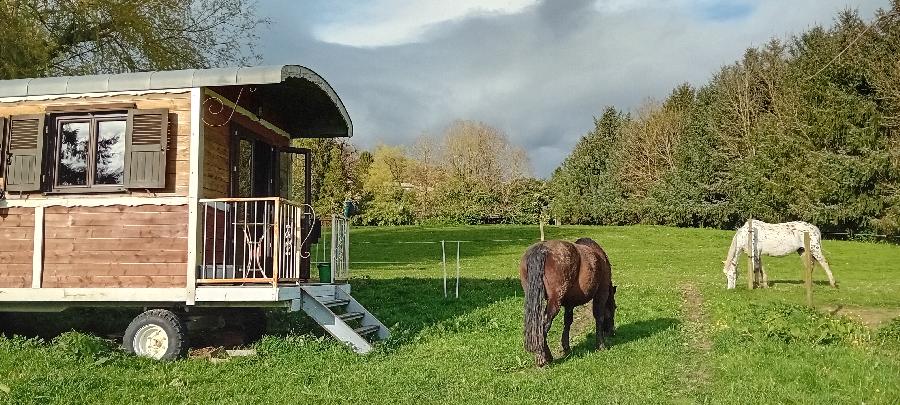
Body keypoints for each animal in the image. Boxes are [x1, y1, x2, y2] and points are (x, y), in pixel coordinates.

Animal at [520, 237, 616, 367]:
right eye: (615, 307)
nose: (611, 331)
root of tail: (542, 249)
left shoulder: (569, 304)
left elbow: (568, 322)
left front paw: (566, 347)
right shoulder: (601, 293)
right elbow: (599, 317)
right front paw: (601, 345)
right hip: (554, 301)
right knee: (544, 325)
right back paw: (543, 358)